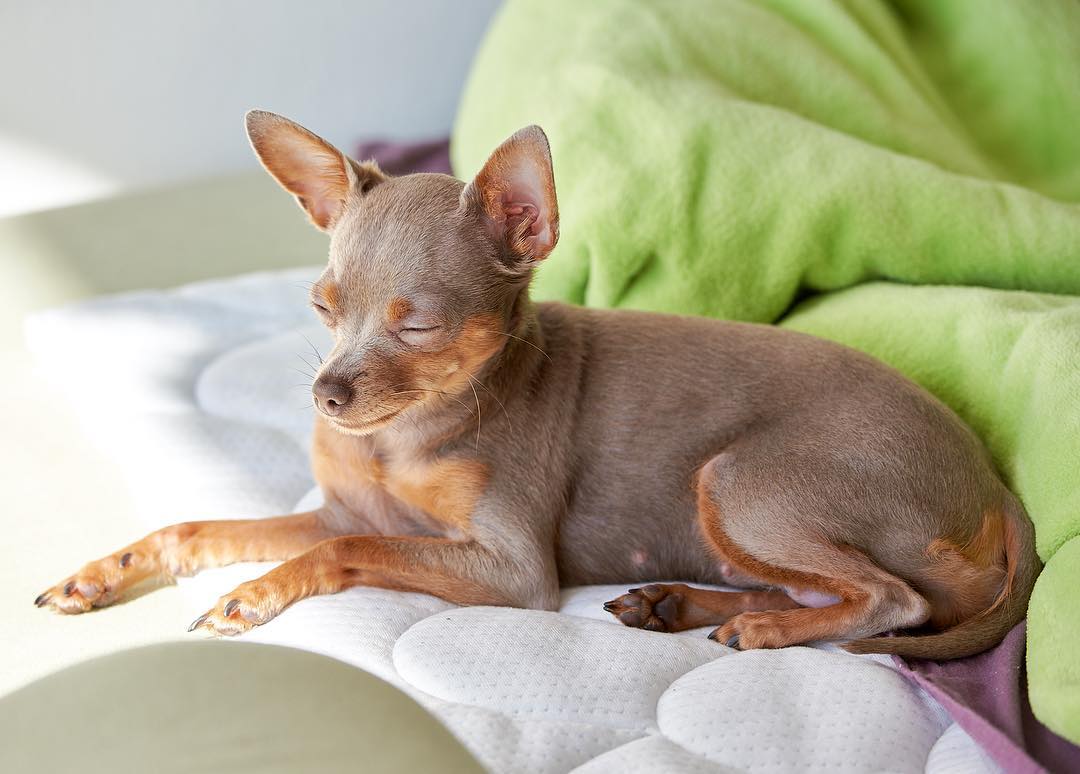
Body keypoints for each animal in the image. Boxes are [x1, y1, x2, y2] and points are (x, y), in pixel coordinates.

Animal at [36, 111, 1039, 657]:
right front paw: (101, 572)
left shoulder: (509, 570)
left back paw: (752, 629)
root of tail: (994, 482)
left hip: (738, 480)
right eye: (322, 309)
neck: (408, 436)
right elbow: (200, 528)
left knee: (892, 601)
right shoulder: (343, 510)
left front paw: (253, 592)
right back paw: (681, 604)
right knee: (820, 593)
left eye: (418, 326)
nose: (326, 396)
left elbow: (342, 551)